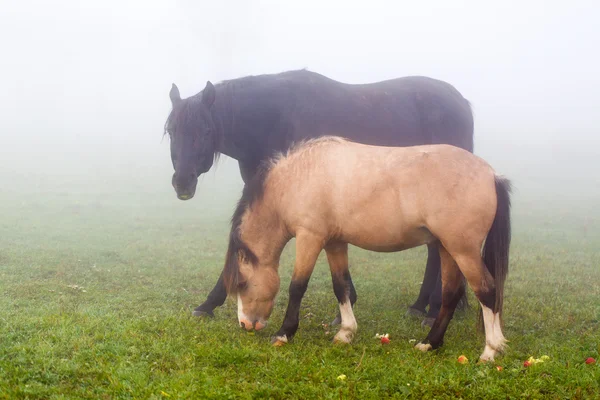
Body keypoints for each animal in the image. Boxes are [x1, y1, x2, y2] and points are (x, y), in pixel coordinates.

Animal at [164, 69, 474, 324]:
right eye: (171, 131)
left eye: (205, 130)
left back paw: (434, 310)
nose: (182, 182)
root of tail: (460, 102)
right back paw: (422, 305)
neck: (275, 119)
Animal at [221, 136, 510, 360]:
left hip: (463, 251)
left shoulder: (309, 238)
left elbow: (297, 287)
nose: (245, 324)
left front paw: (284, 333)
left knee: (487, 291)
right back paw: (429, 343)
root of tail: (491, 174)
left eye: (242, 282)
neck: (299, 178)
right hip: (447, 248)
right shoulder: (335, 243)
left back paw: (490, 351)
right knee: (451, 293)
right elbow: (341, 286)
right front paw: (345, 333)